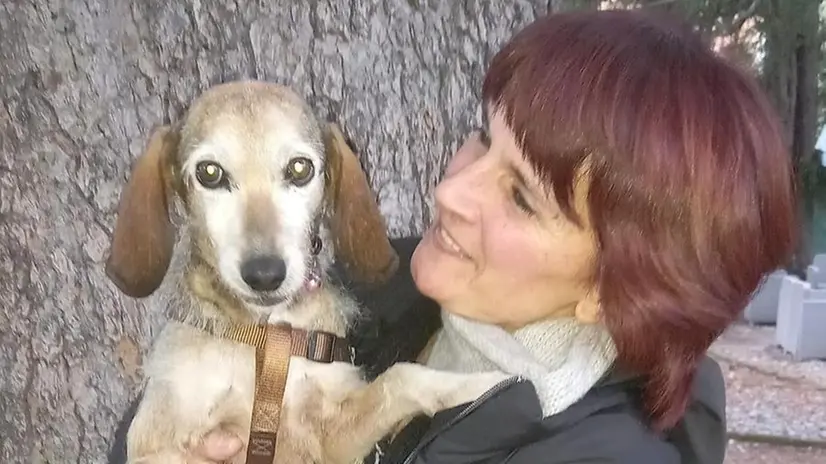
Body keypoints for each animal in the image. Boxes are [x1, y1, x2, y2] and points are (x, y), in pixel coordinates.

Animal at [106, 81, 508, 462]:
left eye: (300, 168)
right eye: (209, 173)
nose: (265, 274)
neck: (270, 339)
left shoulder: (332, 435)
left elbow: (400, 377)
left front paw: (483, 382)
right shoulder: (160, 441)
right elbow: (400, 378)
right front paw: (485, 380)